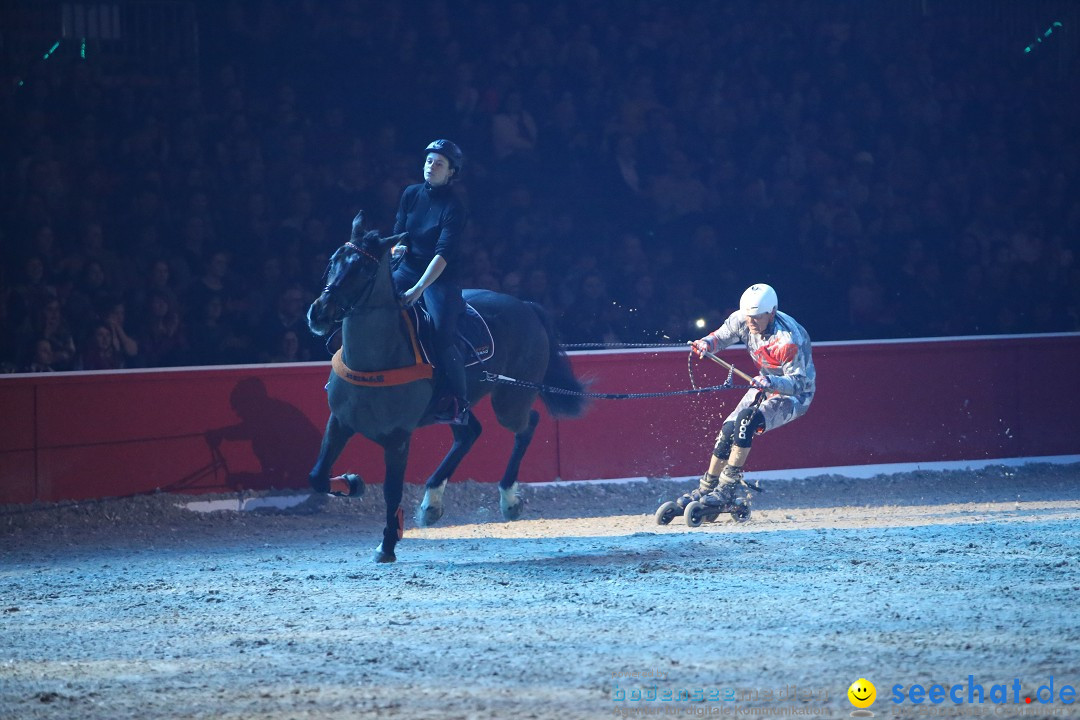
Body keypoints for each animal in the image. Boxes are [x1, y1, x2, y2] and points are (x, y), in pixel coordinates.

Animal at [308, 213, 587, 561]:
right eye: (333, 261)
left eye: (362, 269)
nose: (318, 313)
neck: (375, 361)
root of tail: (525, 306)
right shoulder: (340, 422)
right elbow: (317, 477)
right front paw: (354, 483)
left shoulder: (398, 437)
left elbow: (391, 491)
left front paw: (387, 546)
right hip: (459, 406)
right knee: (470, 433)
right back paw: (432, 504)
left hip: (511, 400)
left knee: (528, 425)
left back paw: (508, 499)